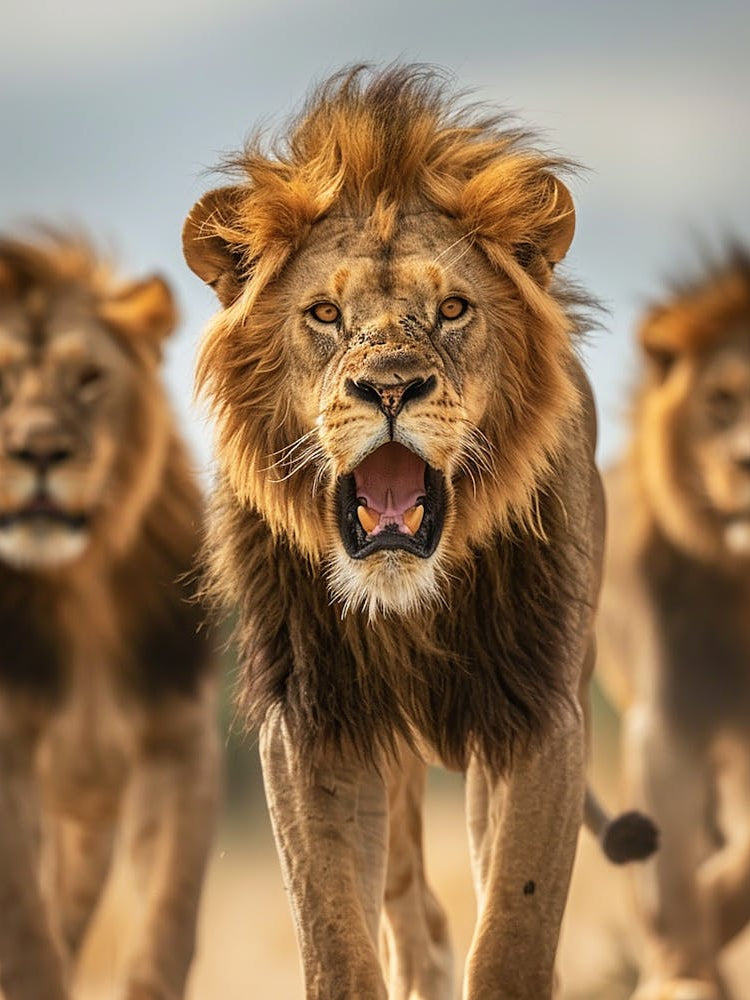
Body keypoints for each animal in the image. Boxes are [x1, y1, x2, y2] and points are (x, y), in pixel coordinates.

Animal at [0, 233, 219, 1000]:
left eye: (89, 378)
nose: (38, 452)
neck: (78, 585)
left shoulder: (176, 740)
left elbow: (165, 922)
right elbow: (25, 934)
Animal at [184, 66, 654, 999]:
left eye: (454, 308)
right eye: (325, 314)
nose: (391, 387)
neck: (409, 602)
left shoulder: (539, 711)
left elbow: (513, 929)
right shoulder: (315, 719)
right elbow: (334, 935)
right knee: (410, 907)